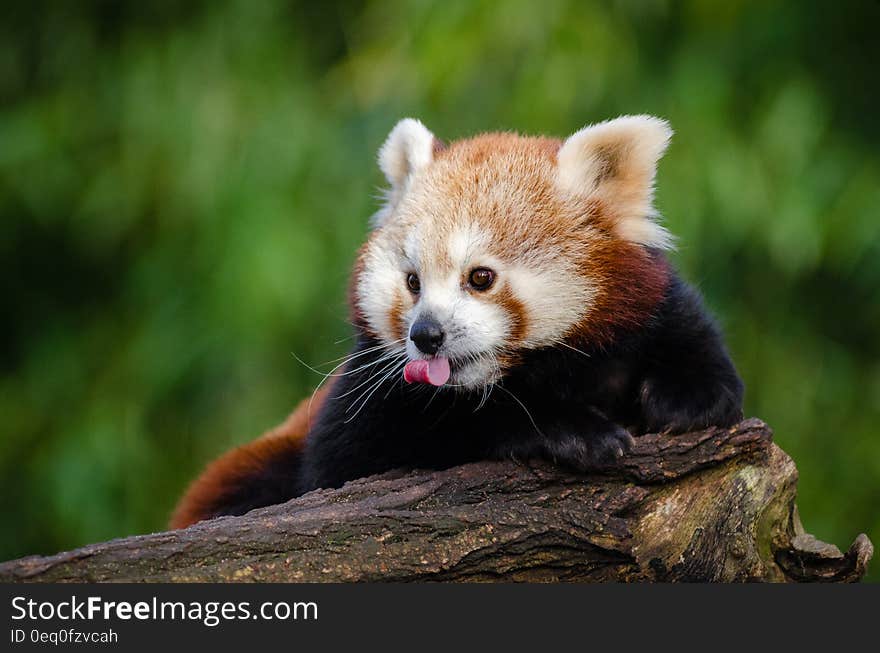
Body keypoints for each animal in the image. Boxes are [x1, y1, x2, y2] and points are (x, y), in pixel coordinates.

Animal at [170, 113, 744, 528]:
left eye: (480, 277)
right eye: (413, 282)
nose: (426, 335)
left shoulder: (646, 305)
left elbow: (688, 337)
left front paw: (689, 394)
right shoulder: (361, 404)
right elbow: (373, 452)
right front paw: (569, 431)